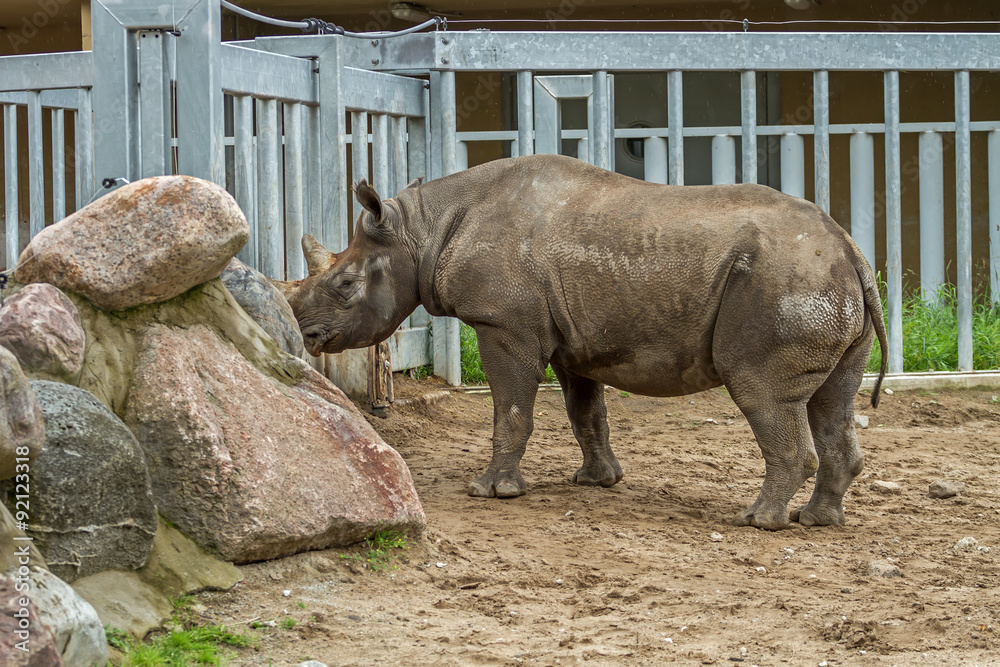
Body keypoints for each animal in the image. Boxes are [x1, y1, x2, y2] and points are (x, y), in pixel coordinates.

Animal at [284, 154, 887, 530]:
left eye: (344, 285)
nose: (303, 331)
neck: (422, 230)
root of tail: (849, 250)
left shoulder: (504, 325)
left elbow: (511, 409)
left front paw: (491, 491)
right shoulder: (573, 339)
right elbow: (584, 412)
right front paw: (597, 481)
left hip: (786, 282)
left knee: (761, 391)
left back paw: (757, 521)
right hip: (822, 282)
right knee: (833, 398)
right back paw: (817, 520)